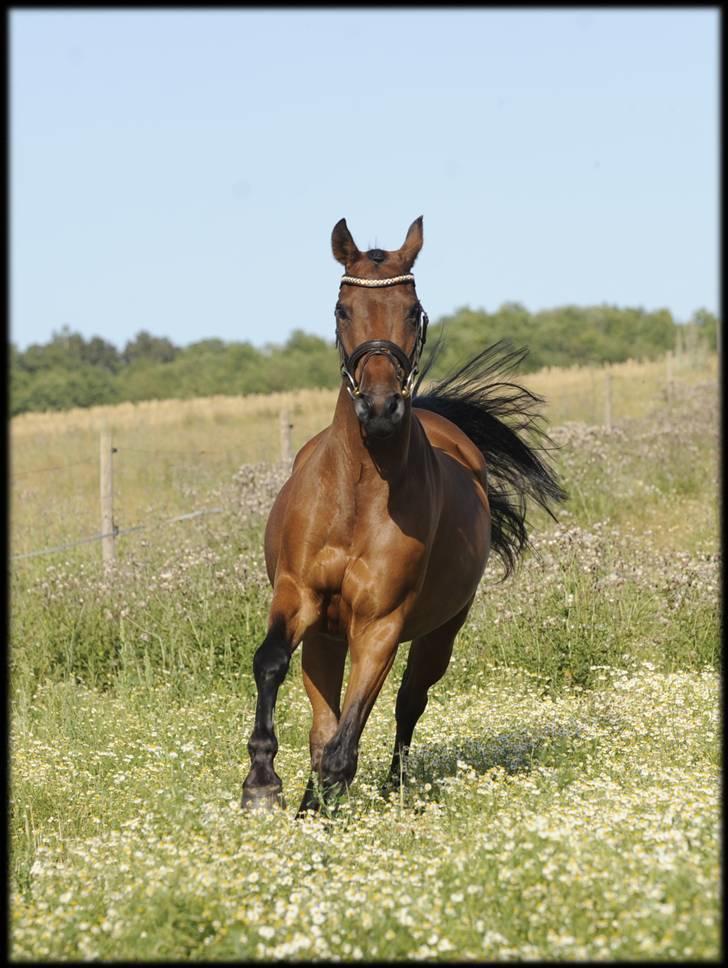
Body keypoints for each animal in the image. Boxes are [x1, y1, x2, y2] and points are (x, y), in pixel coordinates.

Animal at [241, 216, 566, 814]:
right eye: (343, 308)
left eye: (413, 310)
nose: (380, 408)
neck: (358, 496)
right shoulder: (297, 596)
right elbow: (272, 663)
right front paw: (262, 783)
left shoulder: (381, 626)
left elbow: (350, 738)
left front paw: (323, 806)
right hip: (325, 637)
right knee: (324, 721)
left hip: (438, 633)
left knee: (407, 702)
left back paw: (393, 788)